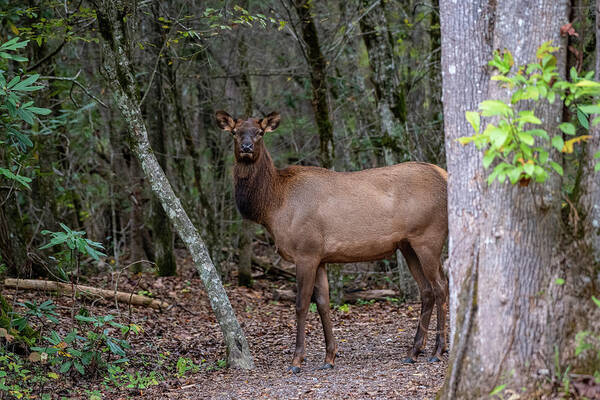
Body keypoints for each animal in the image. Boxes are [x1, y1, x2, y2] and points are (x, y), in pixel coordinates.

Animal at [218, 109, 448, 372]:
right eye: (235, 132)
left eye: (260, 132)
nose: (246, 147)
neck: (273, 208)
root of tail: (444, 175)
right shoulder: (320, 257)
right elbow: (323, 303)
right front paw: (330, 357)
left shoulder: (305, 251)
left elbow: (301, 304)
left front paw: (297, 360)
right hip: (408, 244)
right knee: (427, 290)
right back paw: (414, 351)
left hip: (428, 236)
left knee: (441, 286)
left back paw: (437, 350)